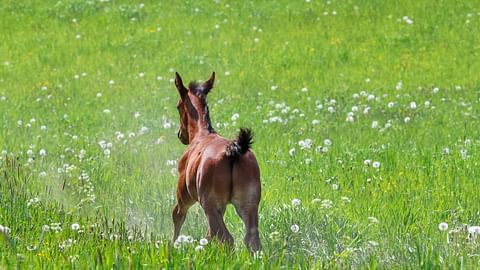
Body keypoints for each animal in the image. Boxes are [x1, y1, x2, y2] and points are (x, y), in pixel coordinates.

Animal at [172, 71, 262, 251]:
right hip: (249, 203)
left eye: (178, 106)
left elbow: (177, 215)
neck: (202, 133)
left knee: (224, 237)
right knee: (251, 238)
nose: (180, 134)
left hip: (210, 204)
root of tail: (233, 152)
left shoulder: (184, 194)